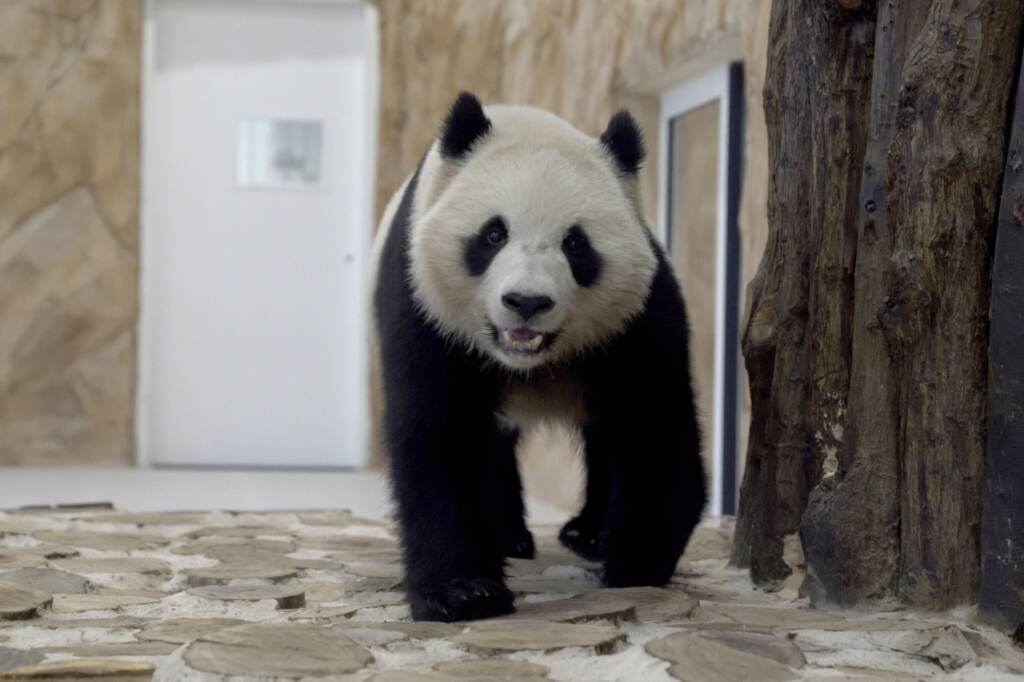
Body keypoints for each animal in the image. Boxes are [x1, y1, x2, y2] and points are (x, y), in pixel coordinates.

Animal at [372, 92, 705, 622]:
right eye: (492, 235)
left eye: (576, 244)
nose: (527, 302)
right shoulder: (425, 306)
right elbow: (442, 433)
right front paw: (463, 592)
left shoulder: (637, 320)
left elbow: (654, 428)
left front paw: (634, 563)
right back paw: (511, 536)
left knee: (603, 435)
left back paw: (585, 533)